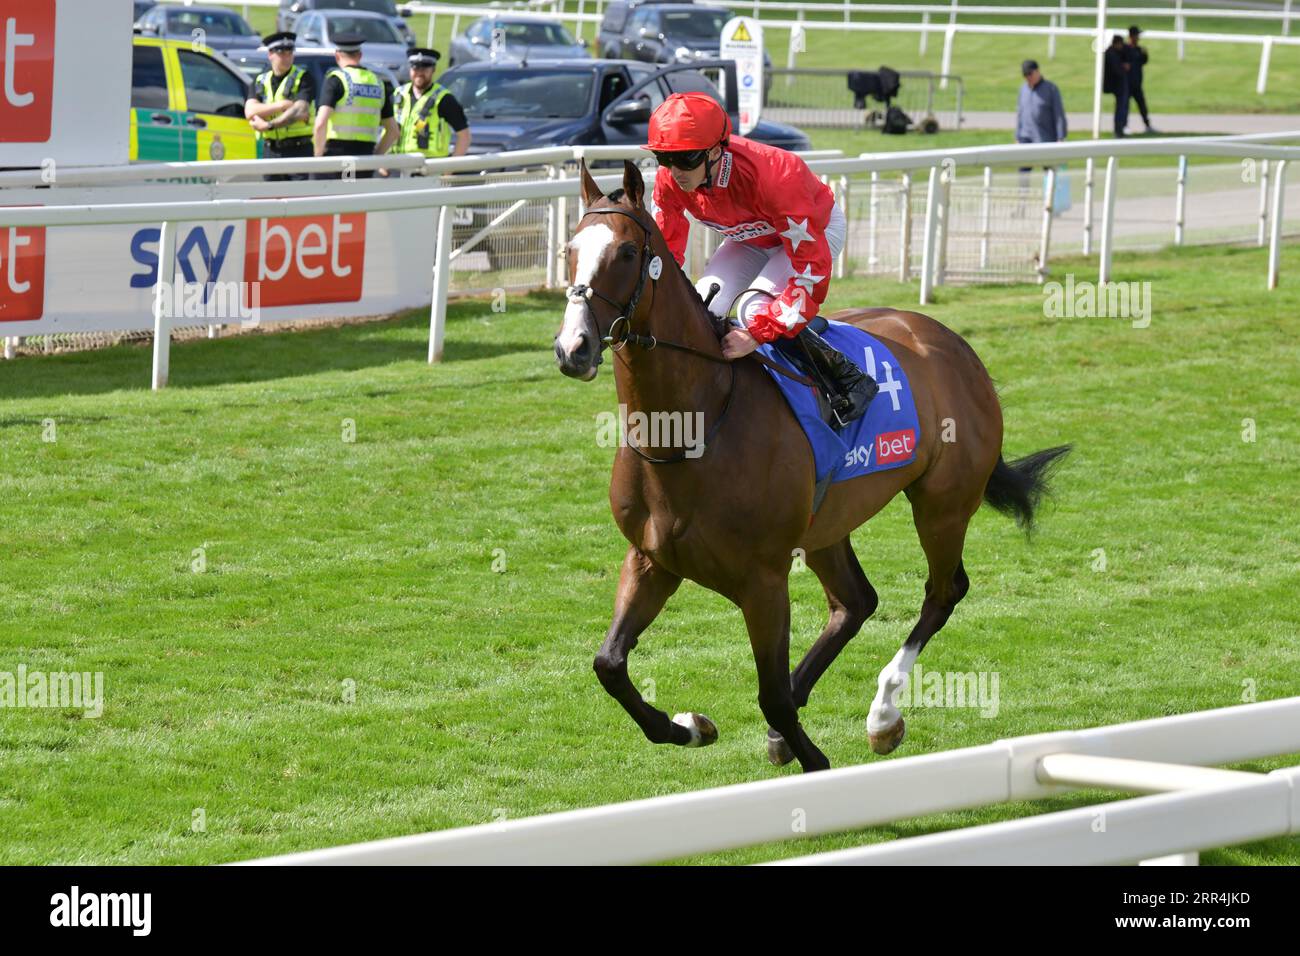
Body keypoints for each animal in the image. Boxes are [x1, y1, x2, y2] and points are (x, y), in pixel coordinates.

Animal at [553, 160, 1071, 775]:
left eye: (629, 252)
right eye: (568, 250)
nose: (573, 348)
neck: (691, 429)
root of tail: (951, 343)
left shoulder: (764, 580)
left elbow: (771, 694)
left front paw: (812, 758)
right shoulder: (652, 560)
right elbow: (609, 664)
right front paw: (691, 726)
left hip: (942, 504)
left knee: (943, 592)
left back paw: (882, 717)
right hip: (826, 525)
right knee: (856, 602)